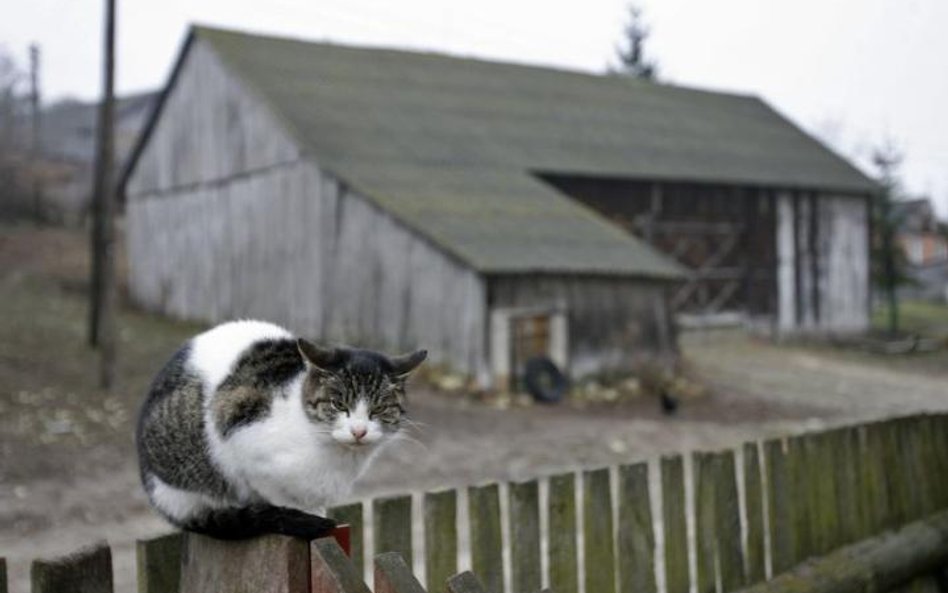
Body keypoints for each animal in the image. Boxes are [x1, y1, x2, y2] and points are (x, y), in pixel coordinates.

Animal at [134, 322, 426, 540]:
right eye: (339, 404)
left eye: (379, 409)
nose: (359, 431)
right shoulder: (242, 441)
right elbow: (275, 493)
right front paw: (304, 514)